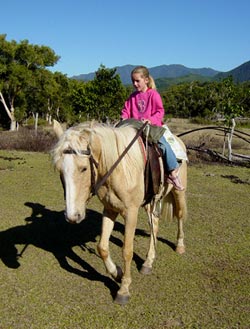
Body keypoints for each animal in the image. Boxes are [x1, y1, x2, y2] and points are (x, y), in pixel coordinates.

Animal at [51, 120, 188, 304]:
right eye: (60, 170)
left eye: (84, 168)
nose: (73, 216)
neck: (120, 169)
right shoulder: (110, 209)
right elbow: (102, 247)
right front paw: (116, 273)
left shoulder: (131, 213)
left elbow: (127, 251)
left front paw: (123, 289)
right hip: (150, 202)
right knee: (155, 224)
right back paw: (148, 262)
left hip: (178, 192)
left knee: (180, 215)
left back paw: (179, 246)